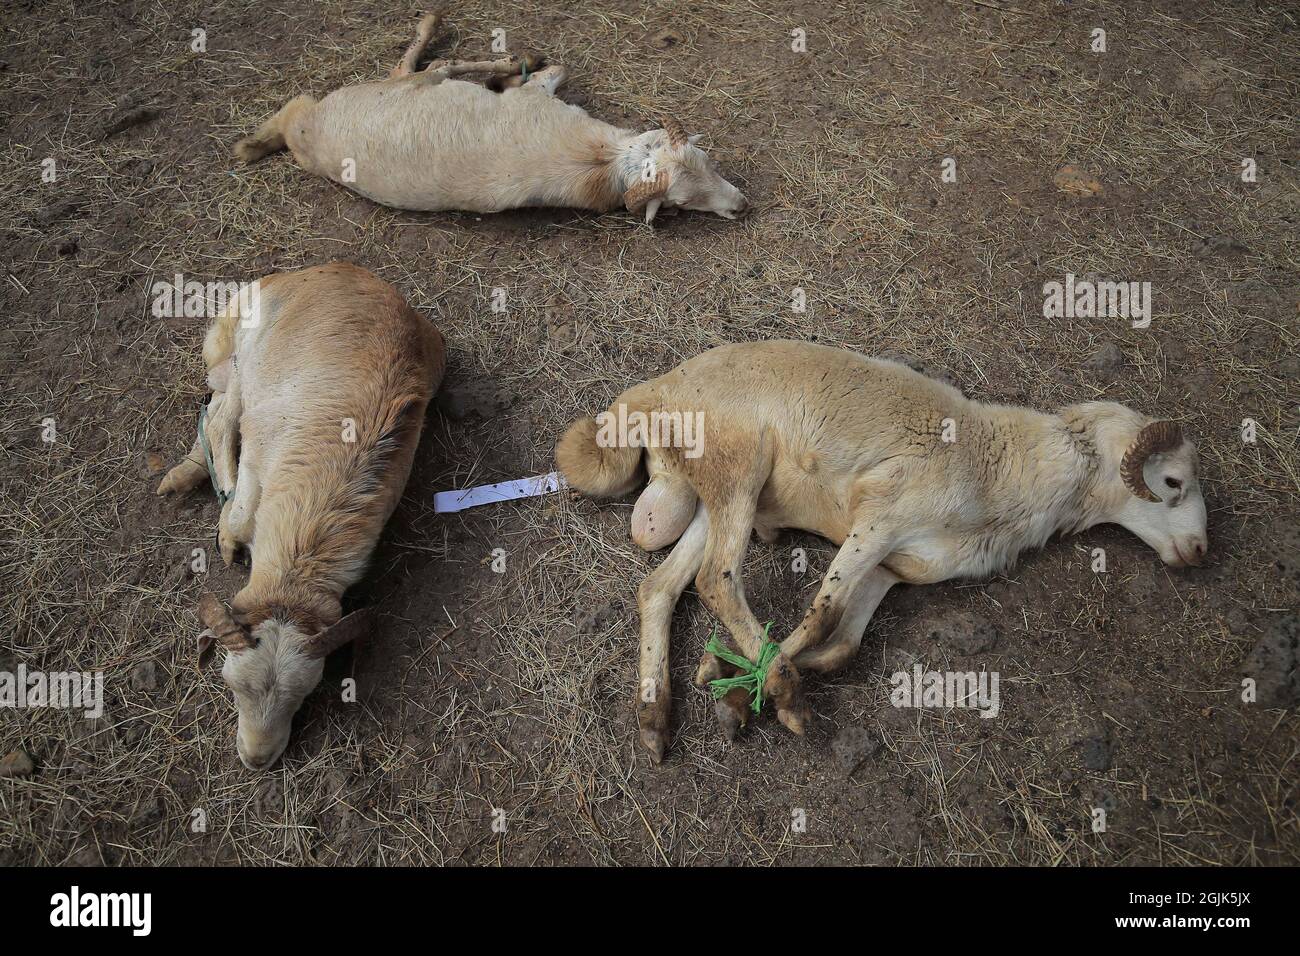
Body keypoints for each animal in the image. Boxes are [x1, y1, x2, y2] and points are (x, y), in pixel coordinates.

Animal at [156, 262, 445, 770]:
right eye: (232, 686)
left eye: (303, 696)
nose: (257, 759)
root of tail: (327, 268)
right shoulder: (258, 448)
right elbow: (239, 512)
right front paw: (227, 535)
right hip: (246, 353)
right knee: (220, 415)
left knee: (216, 407)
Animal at [232, 12, 748, 224]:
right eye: (681, 200)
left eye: (707, 158)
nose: (742, 206)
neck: (603, 160)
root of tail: (300, 131)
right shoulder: (540, 98)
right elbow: (558, 70)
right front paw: (516, 71)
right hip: (402, 86)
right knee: (431, 65)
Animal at [556, 340, 1209, 762]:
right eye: (1173, 481)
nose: (1200, 550)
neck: (1002, 468)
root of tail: (653, 391)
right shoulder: (880, 518)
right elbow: (822, 616)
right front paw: (768, 691)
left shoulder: (897, 568)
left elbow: (842, 643)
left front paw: (736, 686)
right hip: (741, 462)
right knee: (716, 580)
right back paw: (779, 695)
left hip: (705, 497)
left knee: (660, 588)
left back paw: (654, 720)